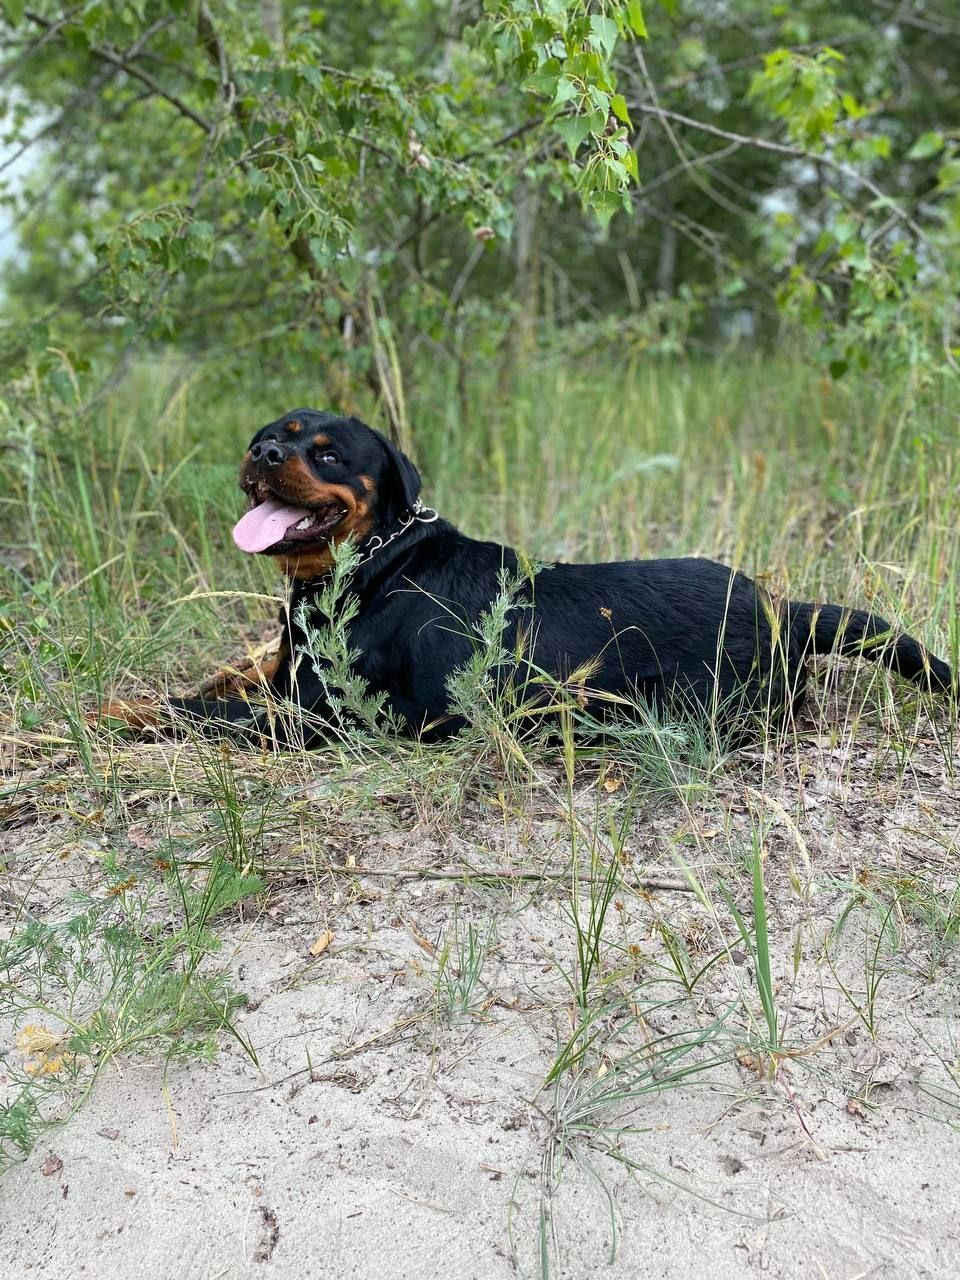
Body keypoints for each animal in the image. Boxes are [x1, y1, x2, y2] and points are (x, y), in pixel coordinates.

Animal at [101, 409, 957, 747]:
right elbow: (218, 684)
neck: (373, 560)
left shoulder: (318, 720)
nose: (264, 454)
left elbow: (197, 713)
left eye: (329, 453)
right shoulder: (282, 684)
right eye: (270, 436)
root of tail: (783, 606)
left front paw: (120, 714)